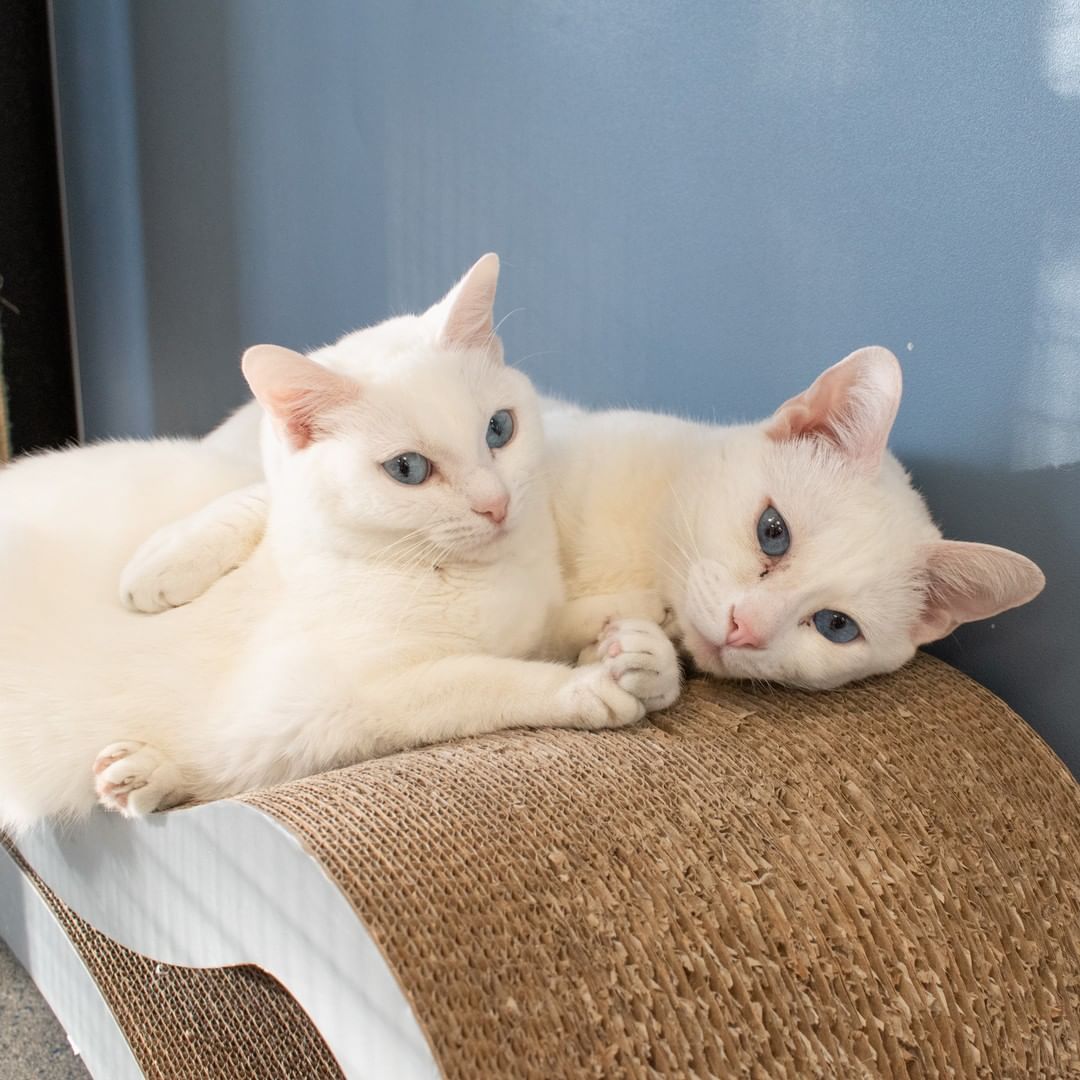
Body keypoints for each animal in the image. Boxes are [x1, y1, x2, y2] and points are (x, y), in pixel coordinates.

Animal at [0, 257, 678, 829]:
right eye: (407, 469)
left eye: (498, 429)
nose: (496, 503)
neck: (470, 575)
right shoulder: (339, 702)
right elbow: (485, 679)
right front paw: (584, 687)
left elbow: (550, 625)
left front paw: (642, 642)